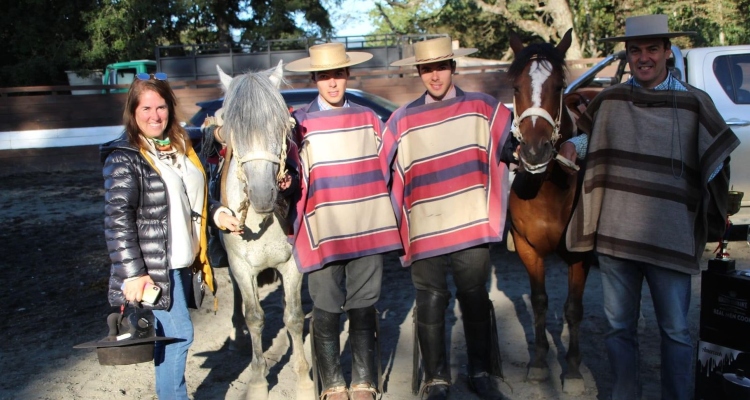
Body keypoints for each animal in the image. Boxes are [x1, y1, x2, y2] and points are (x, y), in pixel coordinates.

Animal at [217, 63, 312, 400]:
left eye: (281, 127)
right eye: (234, 131)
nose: (261, 194)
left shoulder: (292, 266)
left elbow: (293, 318)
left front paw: (304, 380)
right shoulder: (242, 268)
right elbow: (255, 318)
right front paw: (258, 381)